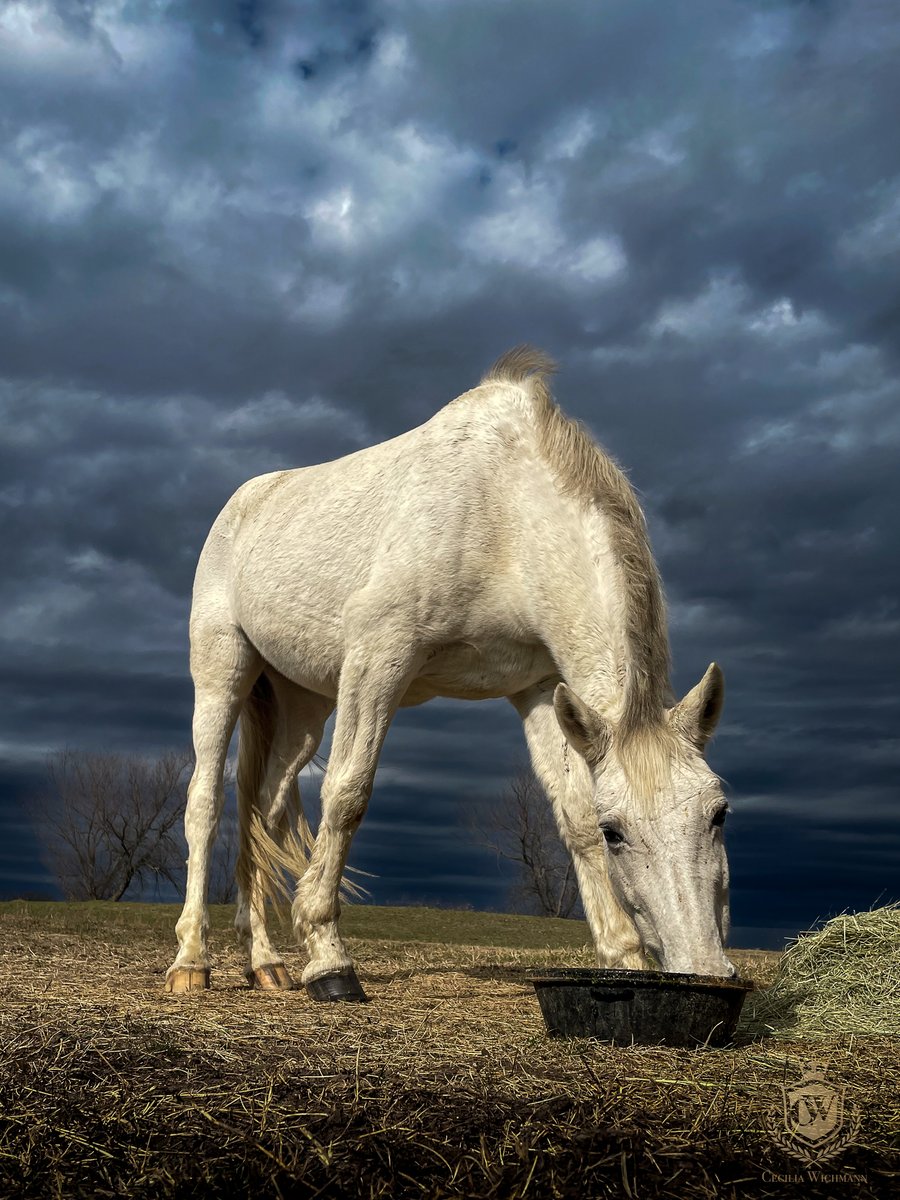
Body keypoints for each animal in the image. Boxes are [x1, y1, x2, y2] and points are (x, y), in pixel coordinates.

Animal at [166, 347, 734, 999]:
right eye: (620, 832)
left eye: (719, 813)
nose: (707, 974)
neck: (503, 508)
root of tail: (242, 504)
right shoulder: (379, 656)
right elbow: (348, 794)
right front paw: (329, 959)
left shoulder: (540, 690)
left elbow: (573, 814)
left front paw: (624, 956)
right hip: (223, 670)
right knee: (205, 803)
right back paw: (192, 960)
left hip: (303, 706)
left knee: (262, 809)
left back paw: (264, 961)